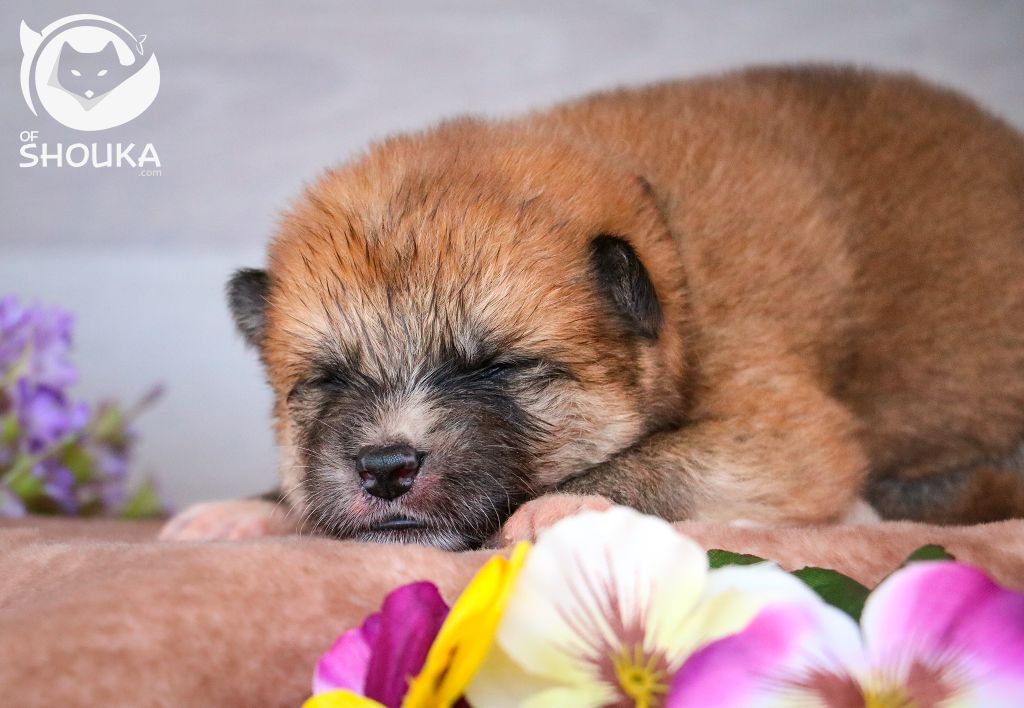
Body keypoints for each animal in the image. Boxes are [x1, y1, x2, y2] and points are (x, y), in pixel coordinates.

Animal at [161, 66, 1024, 550]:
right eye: (327, 381)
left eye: (498, 367)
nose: (384, 468)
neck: (671, 248)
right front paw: (250, 510)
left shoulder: (784, 426)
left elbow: (664, 461)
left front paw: (561, 505)